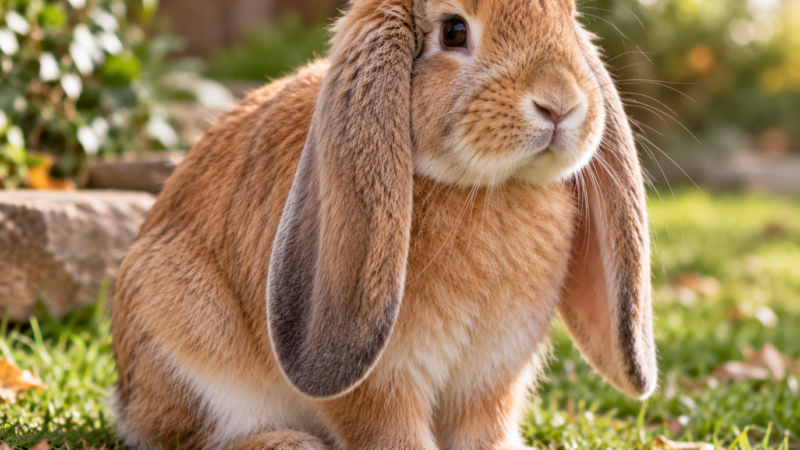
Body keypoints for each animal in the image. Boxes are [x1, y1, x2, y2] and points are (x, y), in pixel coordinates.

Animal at [110, 0, 658, 448]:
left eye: (567, 16)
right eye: (454, 31)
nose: (560, 103)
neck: (490, 188)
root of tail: (126, 397)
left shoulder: (491, 373)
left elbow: (486, 429)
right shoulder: (380, 380)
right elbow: (389, 432)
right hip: (182, 326)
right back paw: (288, 444)